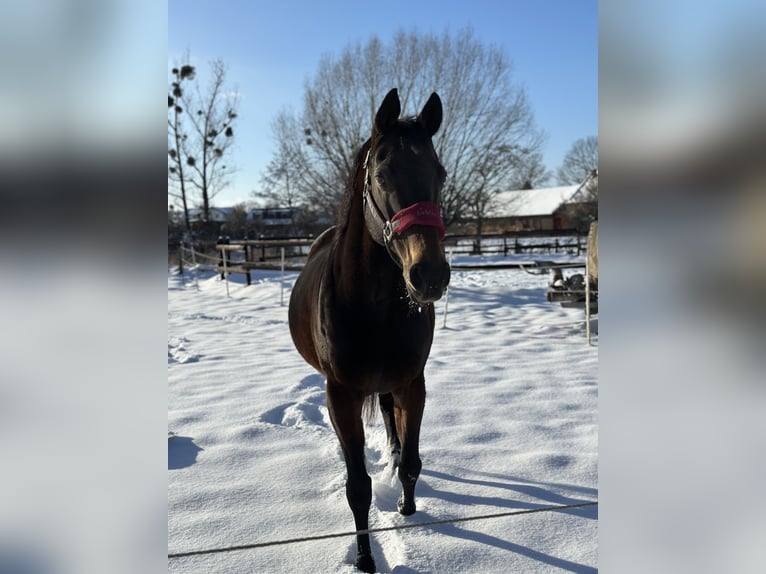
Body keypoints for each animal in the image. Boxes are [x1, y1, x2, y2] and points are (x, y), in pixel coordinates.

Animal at [288, 88, 450, 573]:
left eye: (440, 173)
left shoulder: (412, 383)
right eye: (381, 173)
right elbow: (357, 487)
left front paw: (407, 508)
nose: (429, 275)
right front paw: (364, 558)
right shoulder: (340, 394)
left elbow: (412, 461)